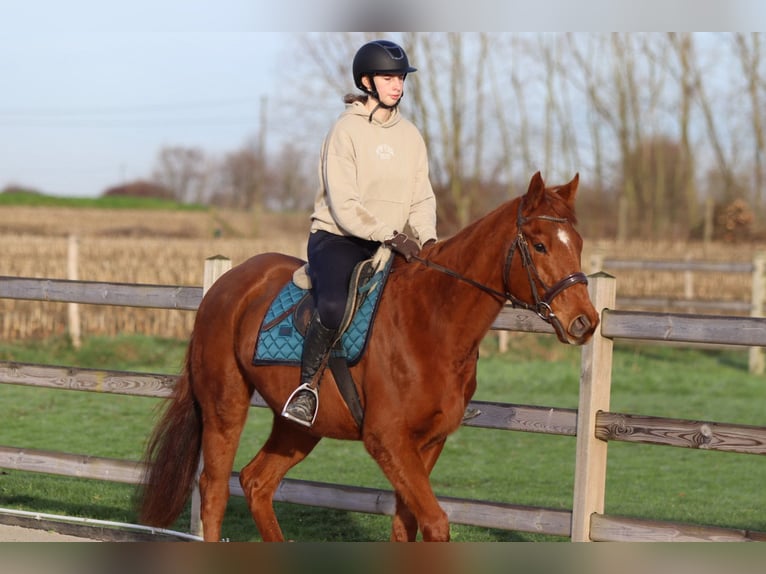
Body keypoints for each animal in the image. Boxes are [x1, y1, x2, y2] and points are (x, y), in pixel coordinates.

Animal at [136, 171, 599, 542]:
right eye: (538, 245)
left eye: (577, 243)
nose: (585, 322)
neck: (432, 321)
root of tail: (225, 285)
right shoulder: (387, 440)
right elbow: (435, 524)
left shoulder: (427, 443)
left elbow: (406, 525)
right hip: (225, 407)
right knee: (215, 491)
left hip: (300, 427)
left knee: (255, 482)